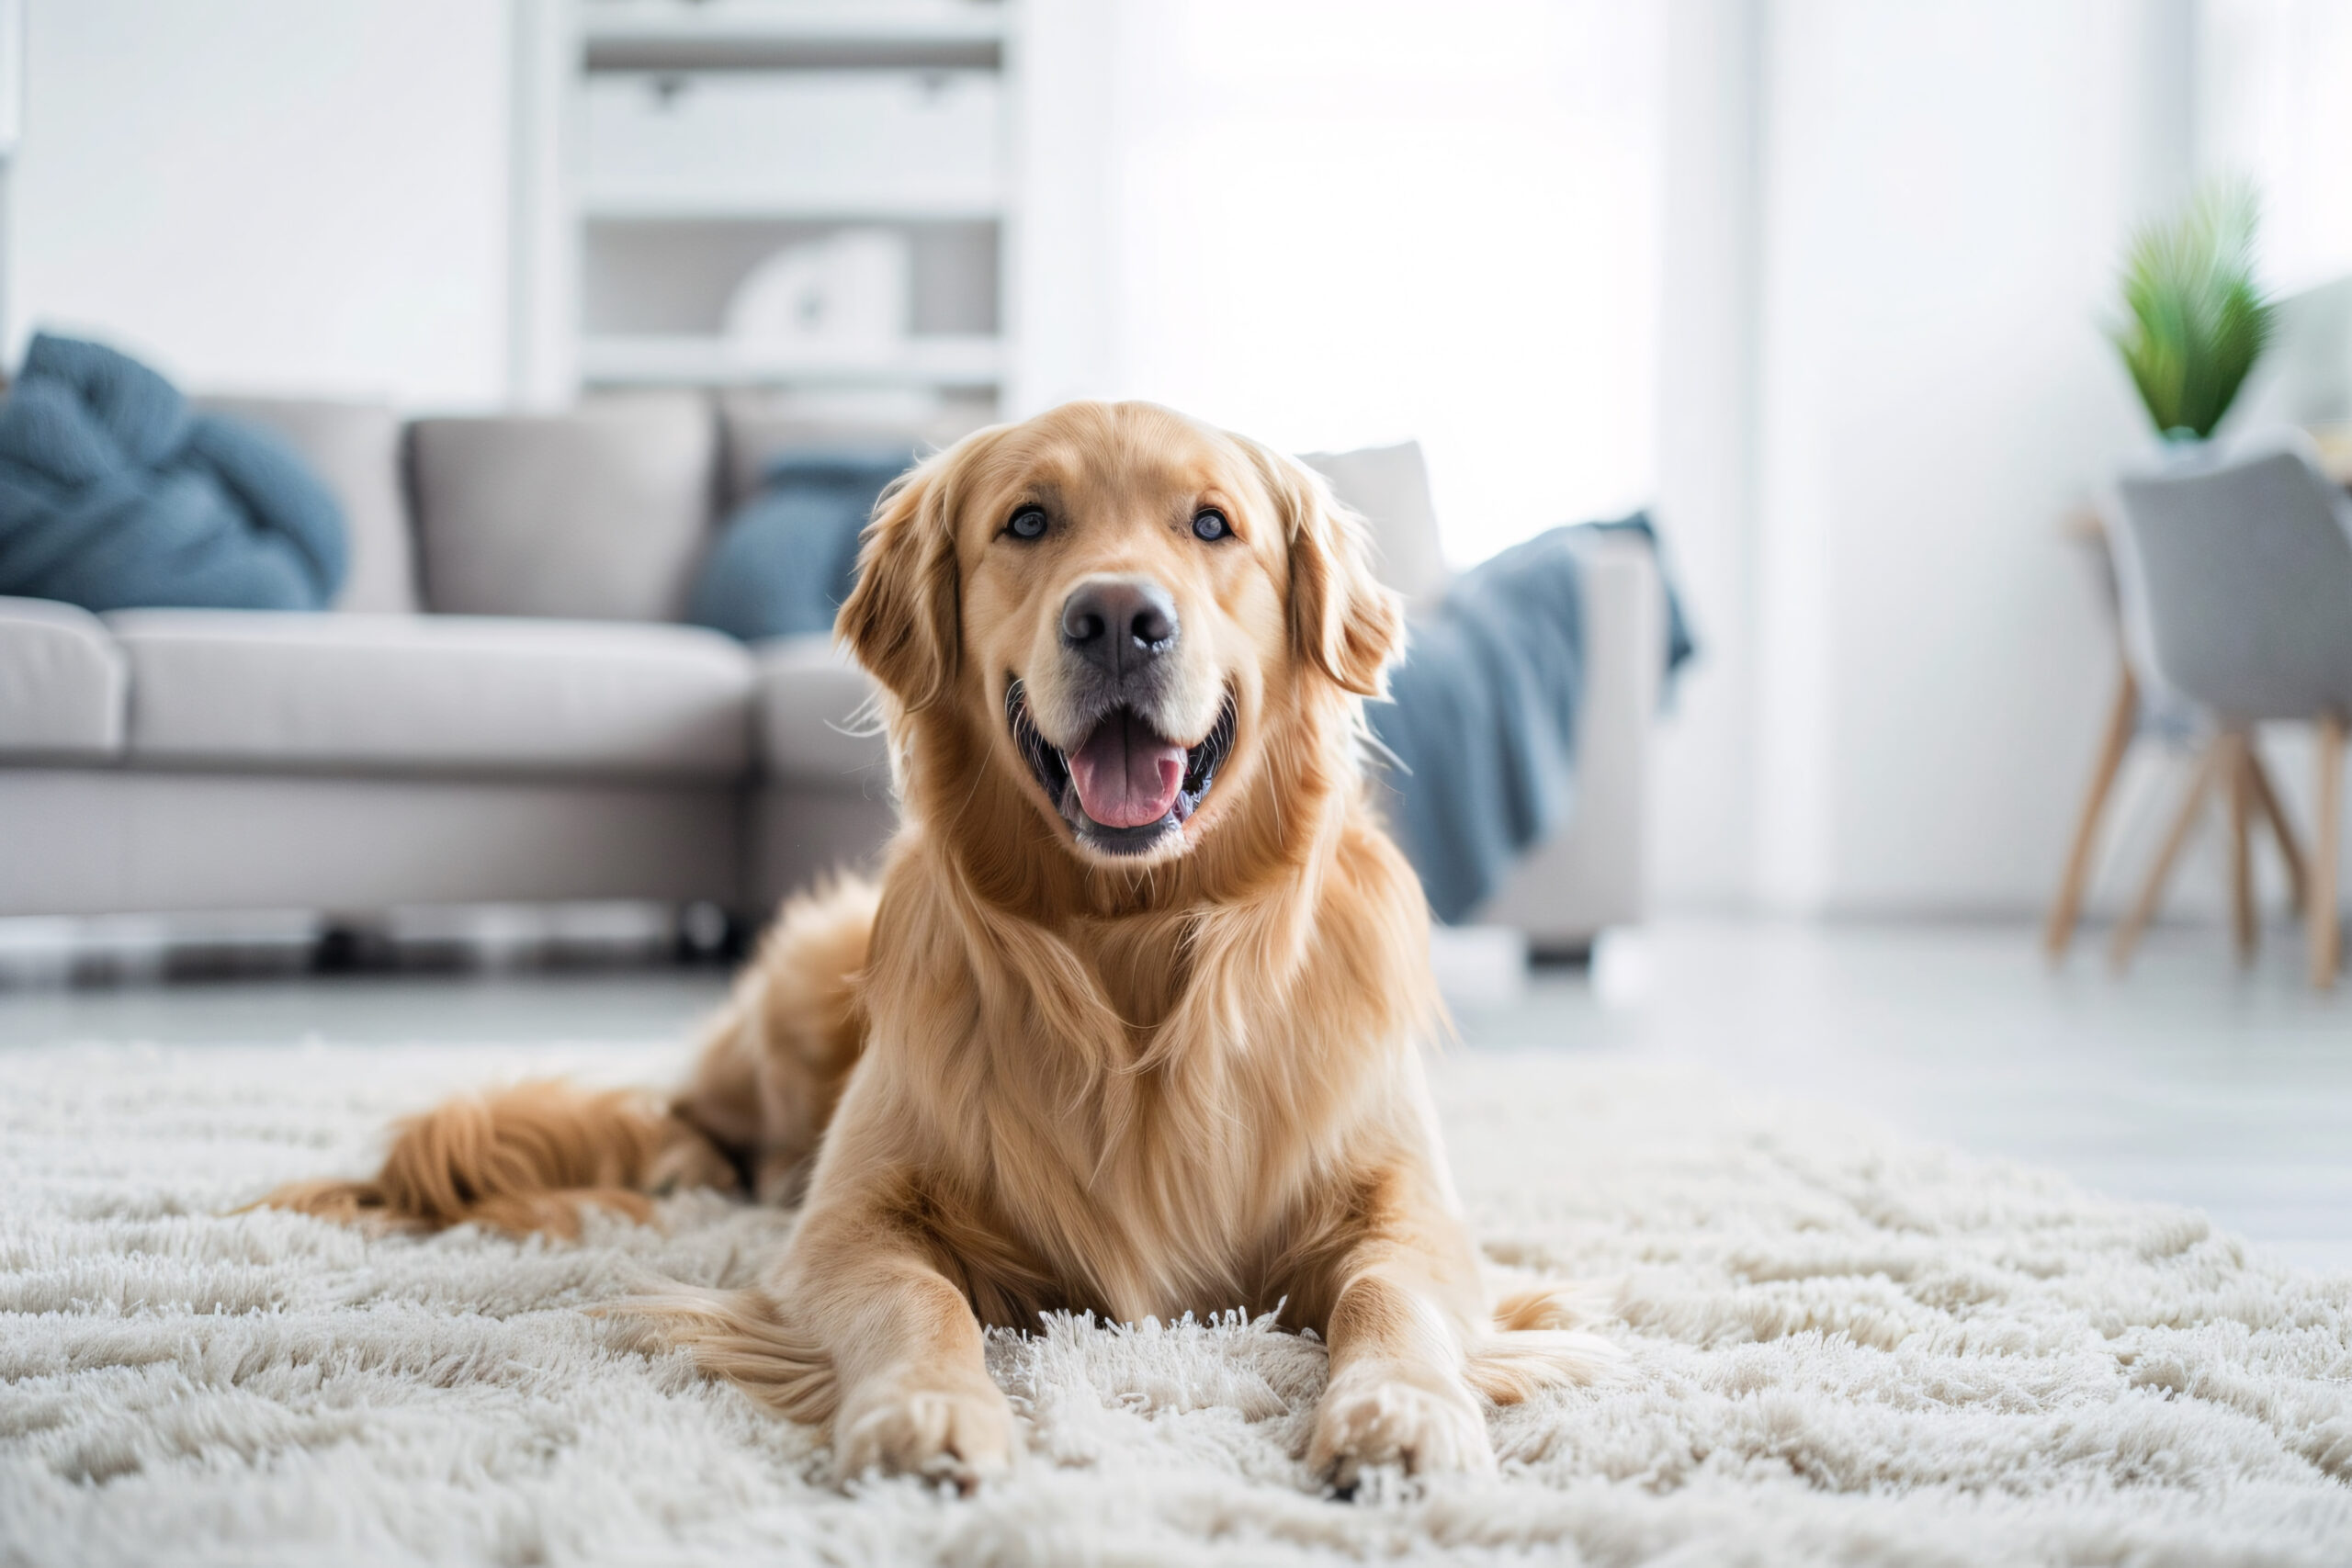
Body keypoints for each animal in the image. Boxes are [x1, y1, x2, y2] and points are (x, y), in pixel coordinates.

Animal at [266, 401, 1609, 1485]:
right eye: (1028, 520)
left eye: (1213, 525)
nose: (1117, 617)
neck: (1126, 948)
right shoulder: (845, 1224)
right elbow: (915, 1297)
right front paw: (928, 1414)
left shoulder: (1413, 1211)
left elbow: (1391, 1294)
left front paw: (1401, 1414)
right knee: (705, 1126)